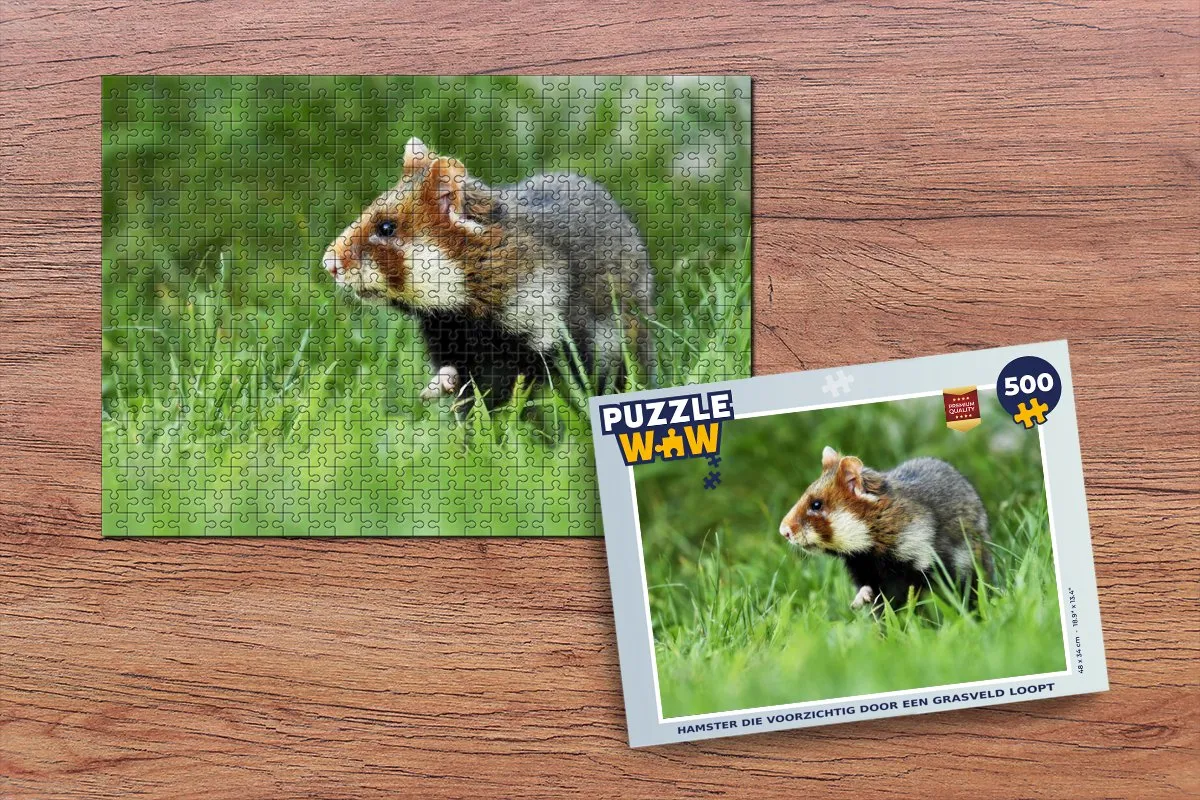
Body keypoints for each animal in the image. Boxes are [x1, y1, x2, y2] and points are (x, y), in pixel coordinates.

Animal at [323, 137, 654, 411]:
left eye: (386, 227)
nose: (328, 264)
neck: (465, 309)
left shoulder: (555, 336)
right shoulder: (452, 345)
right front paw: (435, 390)